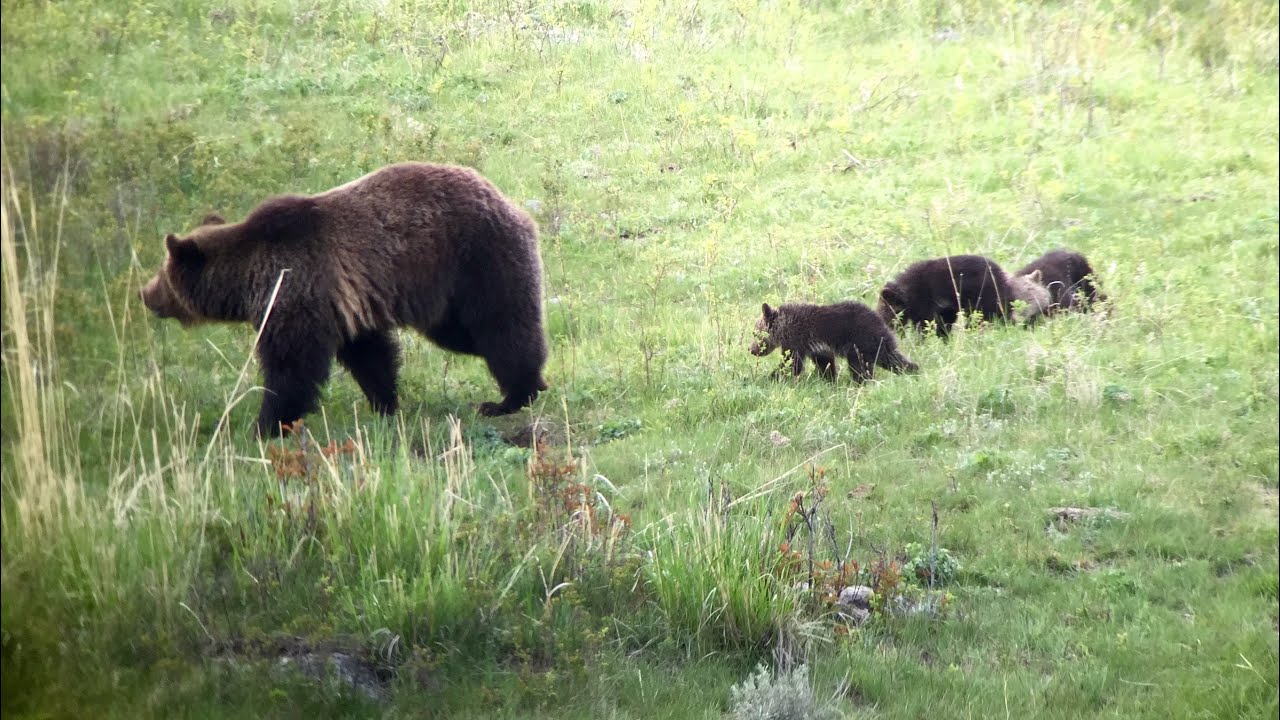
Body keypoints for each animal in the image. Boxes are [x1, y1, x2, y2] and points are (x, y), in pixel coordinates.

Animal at [140, 162, 550, 436]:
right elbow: (369, 356)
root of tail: (511, 203)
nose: (145, 293)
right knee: (470, 336)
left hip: (476, 260)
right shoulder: (346, 307)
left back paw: (511, 397)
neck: (250, 279)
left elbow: (292, 367)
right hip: (449, 294)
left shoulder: (297, 289)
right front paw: (384, 403)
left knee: (501, 328)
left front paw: (265, 425)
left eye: (162, 273)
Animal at [749, 301, 918, 382]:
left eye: (755, 333)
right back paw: (913, 370)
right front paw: (829, 380)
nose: (751, 349)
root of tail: (881, 322)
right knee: (893, 359)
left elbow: (792, 364)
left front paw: (768, 378)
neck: (783, 326)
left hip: (860, 342)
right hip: (877, 345)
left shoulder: (796, 341)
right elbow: (826, 364)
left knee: (860, 367)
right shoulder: (818, 348)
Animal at [876, 254, 1046, 336]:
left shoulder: (926, 303)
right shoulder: (945, 307)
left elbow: (926, 324)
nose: (890, 328)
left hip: (984, 300)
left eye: (886, 313)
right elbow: (943, 323)